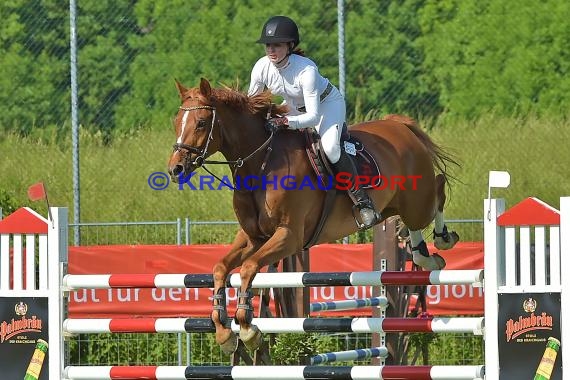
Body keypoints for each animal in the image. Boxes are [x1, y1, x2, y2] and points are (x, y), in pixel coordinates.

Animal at [166, 78, 460, 354]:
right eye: (176, 121)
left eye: (201, 123)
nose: (175, 169)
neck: (262, 164)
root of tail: (400, 126)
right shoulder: (252, 238)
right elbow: (220, 268)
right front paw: (224, 332)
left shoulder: (289, 237)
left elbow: (249, 268)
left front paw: (248, 328)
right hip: (394, 207)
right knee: (415, 220)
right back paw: (423, 254)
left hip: (417, 200)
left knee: (438, 189)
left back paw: (442, 239)